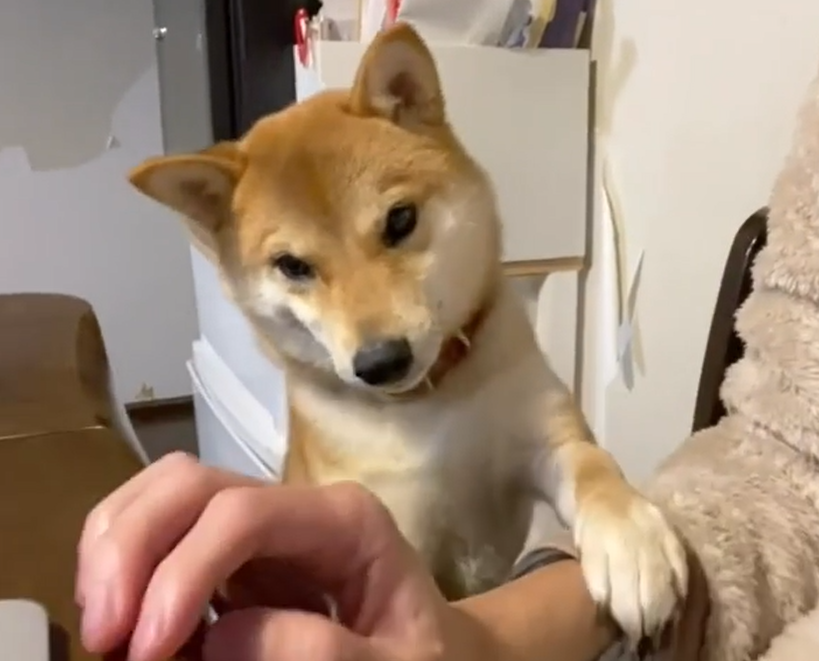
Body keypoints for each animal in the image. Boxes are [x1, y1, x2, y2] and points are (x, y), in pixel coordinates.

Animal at [128, 22, 687, 644]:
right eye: (292, 266)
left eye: (400, 220)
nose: (380, 362)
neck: (433, 404)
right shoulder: (397, 523)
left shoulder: (548, 441)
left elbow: (596, 470)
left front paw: (631, 544)